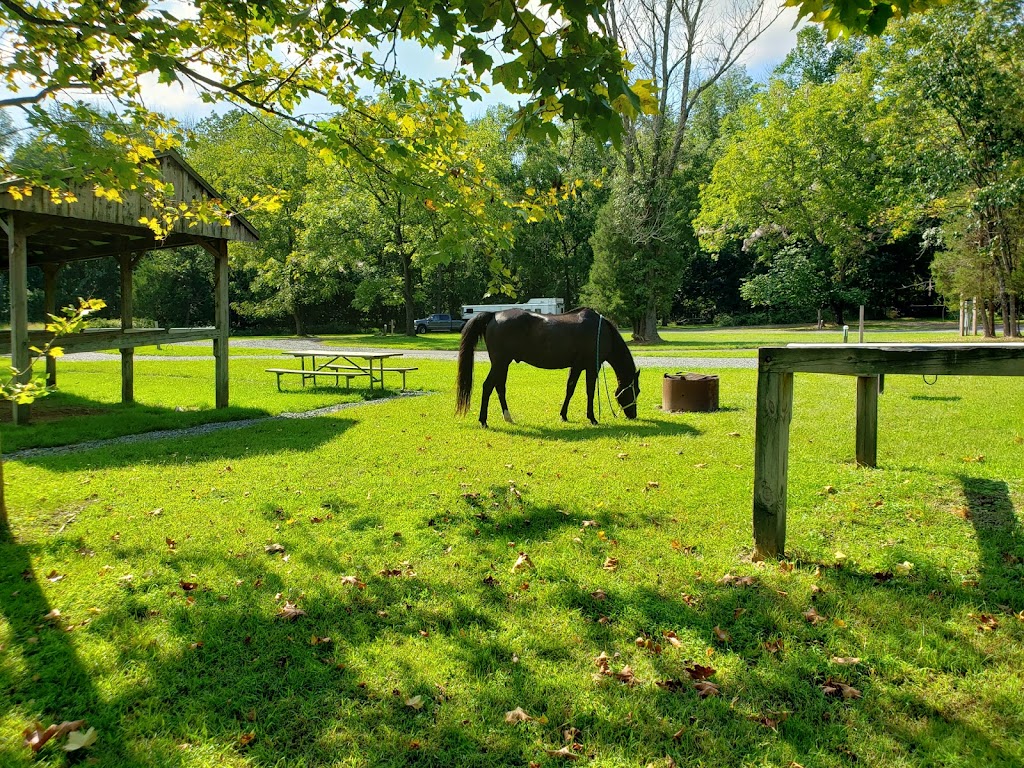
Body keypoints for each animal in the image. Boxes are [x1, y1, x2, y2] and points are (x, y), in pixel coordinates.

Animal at [456, 307, 638, 428]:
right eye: (636, 390)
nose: (633, 415)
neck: (601, 331)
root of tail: (494, 315)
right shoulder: (592, 367)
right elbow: (590, 391)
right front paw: (592, 418)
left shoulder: (577, 366)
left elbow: (570, 389)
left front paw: (563, 415)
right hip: (500, 363)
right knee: (488, 386)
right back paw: (483, 421)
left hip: (502, 364)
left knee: (499, 387)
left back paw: (508, 417)